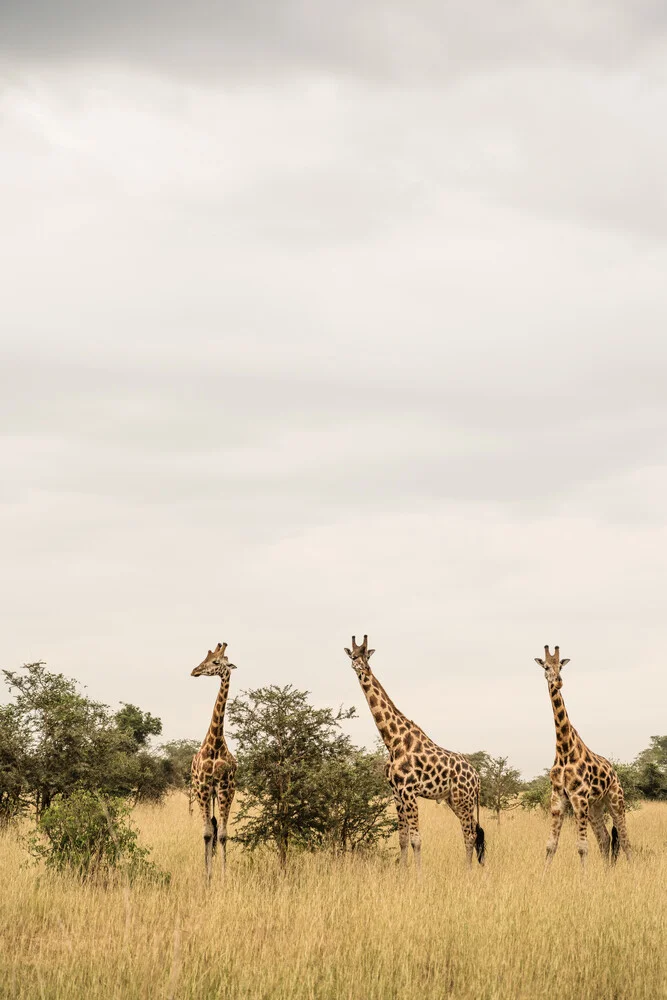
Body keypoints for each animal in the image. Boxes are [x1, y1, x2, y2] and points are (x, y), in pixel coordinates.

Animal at [344, 640, 486, 868]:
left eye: (366, 655)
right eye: (353, 655)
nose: (361, 667)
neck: (393, 741)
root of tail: (477, 777)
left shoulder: (409, 791)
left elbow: (416, 839)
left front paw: (418, 873)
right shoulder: (396, 793)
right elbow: (402, 838)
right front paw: (402, 871)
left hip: (464, 800)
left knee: (470, 834)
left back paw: (468, 870)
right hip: (455, 800)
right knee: (475, 830)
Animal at [536, 644, 636, 872]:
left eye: (561, 666)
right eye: (546, 667)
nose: (558, 681)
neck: (564, 750)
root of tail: (615, 772)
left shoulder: (578, 796)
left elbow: (582, 846)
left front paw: (583, 877)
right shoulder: (558, 798)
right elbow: (550, 845)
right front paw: (543, 876)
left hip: (615, 799)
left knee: (624, 838)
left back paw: (631, 870)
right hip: (595, 806)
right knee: (605, 838)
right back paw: (607, 873)